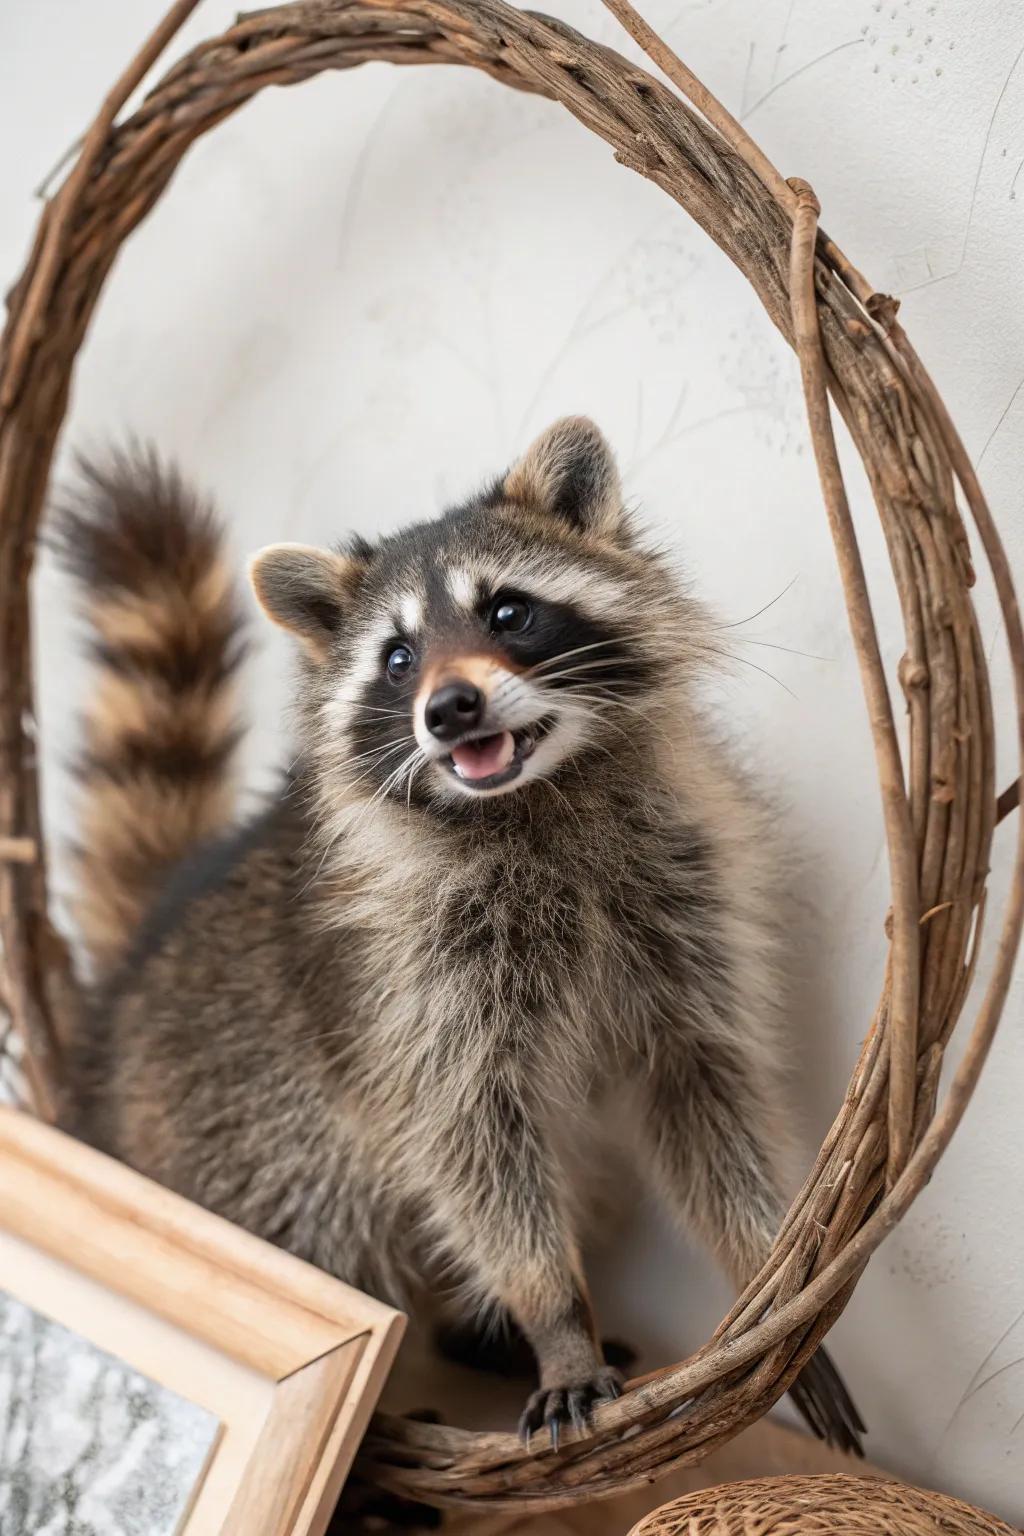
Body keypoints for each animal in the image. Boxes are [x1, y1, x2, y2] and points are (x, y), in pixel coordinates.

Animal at [56, 420, 862, 1451]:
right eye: (397, 659)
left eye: (510, 612)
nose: (449, 708)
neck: (535, 798)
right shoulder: (414, 987)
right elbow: (471, 1146)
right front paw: (555, 1319)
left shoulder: (684, 909)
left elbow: (707, 1093)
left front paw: (761, 1272)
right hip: (241, 1129)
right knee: (321, 1214)